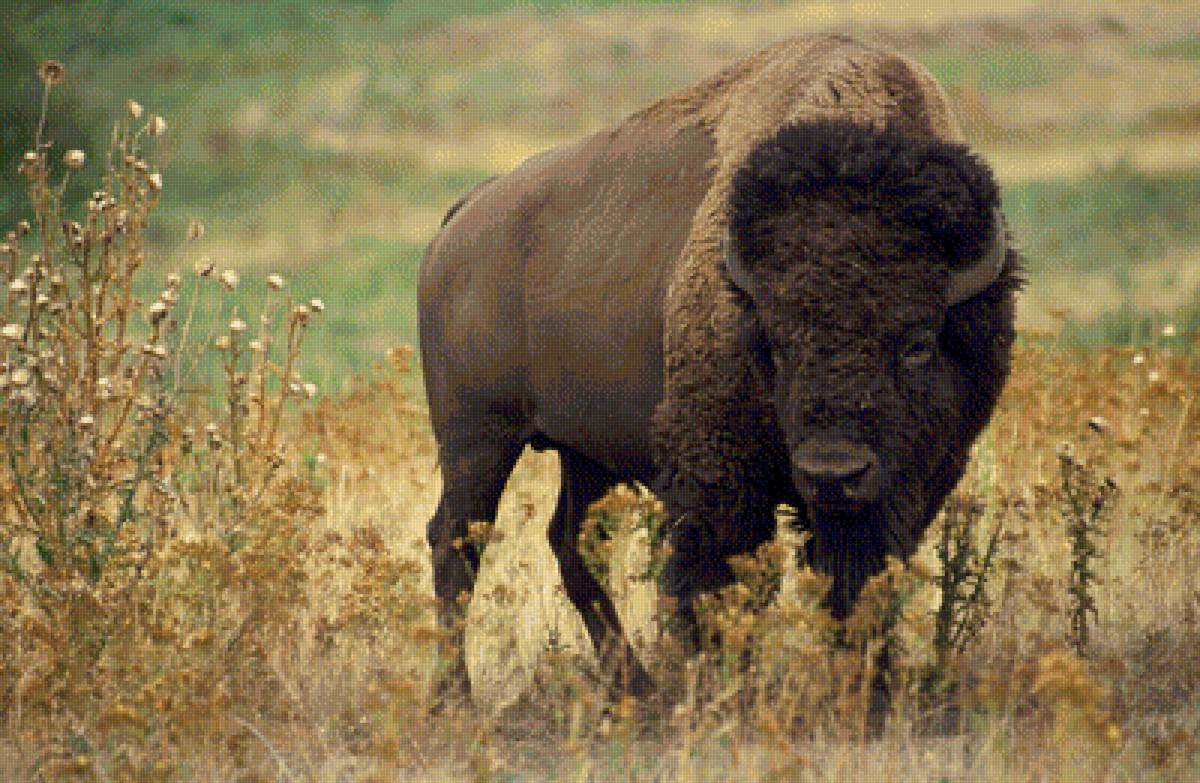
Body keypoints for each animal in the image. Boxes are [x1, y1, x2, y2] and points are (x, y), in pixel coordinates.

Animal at [418, 33, 1019, 702]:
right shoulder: (720, 480)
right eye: (775, 344)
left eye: (917, 343)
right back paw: (458, 696)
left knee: (570, 543)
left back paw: (637, 688)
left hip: (585, 454)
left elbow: (857, 583)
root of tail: (465, 214)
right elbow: (720, 585)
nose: (832, 472)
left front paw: (867, 690)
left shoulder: (910, 481)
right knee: (456, 543)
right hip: (477, 438)